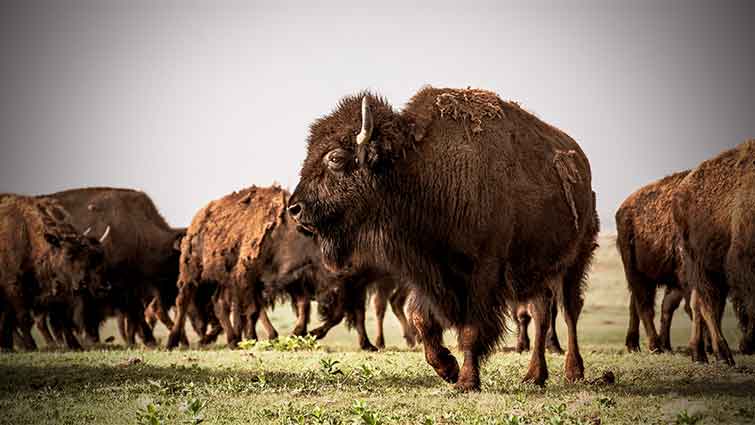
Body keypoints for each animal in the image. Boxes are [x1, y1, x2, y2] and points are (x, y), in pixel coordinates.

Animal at [0, 194, 108, 350]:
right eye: (68, 253)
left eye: (87, 256)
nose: (83, 283)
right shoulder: (14, 286)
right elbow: (24, 317)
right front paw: (31, 345)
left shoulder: (57, 292)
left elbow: (61, 318)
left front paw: (74, 345)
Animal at [290, 88, 604, 390]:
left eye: (335, 158)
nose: (295, 209)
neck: (422, 168)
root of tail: (582, 164)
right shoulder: (427, 267)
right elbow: (421, 319)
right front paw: (447, 368)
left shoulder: (483, 273)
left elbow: (471, 329)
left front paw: (466, 381)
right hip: (536, 270)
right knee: (541, 313)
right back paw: (534, 376)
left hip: (576, 260)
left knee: (570, 311)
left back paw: (574, 372)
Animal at [616, 169, 692, 352]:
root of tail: (622, 209)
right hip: (635, 271)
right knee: (644, 305)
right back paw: (654, 345)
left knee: (638, 304)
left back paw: (638, 344)